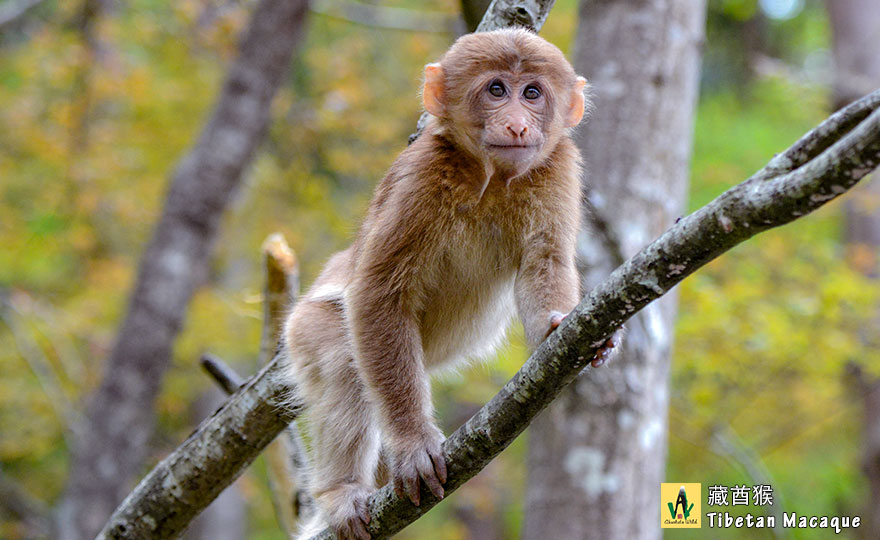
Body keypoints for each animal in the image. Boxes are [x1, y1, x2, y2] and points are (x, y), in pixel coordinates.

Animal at [286, 29, 616, 540]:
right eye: (497, 89)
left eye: (532, 93)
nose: (517, 125)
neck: (492, 177)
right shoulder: (420, 177)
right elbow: (377, 294)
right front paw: (413, 444)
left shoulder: (559, 166)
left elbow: (545, 261)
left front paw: (558, 327)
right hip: (304, 327)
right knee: (342, 357)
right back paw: (341, 494)